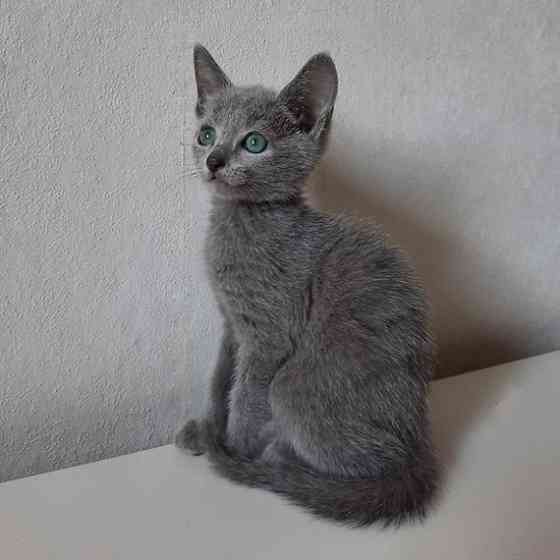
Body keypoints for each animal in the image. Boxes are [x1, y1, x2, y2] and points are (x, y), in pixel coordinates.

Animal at [177, 43, 440, 524]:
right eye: (206, 134)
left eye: (255, 142)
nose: (213, 160)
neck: (241, 221)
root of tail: (419, 453)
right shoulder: (232, 324)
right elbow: (221, 378)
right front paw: (205, 428)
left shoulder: (269, 335)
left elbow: (245, 396)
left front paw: (232, 449)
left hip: (293, 385)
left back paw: (278, 460)